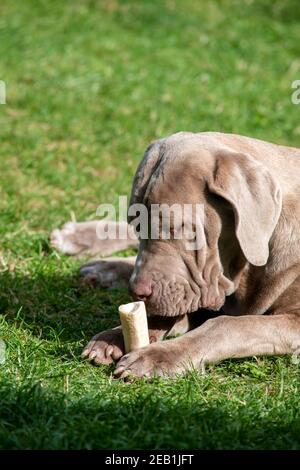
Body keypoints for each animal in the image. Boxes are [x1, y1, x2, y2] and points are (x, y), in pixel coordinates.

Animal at [50, 132, 300, 378]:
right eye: (137, 226)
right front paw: (115, 336)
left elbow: (227, 325)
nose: (137, 292)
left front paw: (158, 356)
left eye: (178, 228)